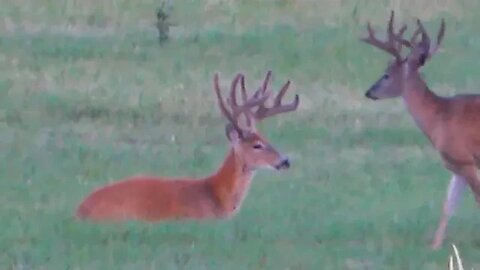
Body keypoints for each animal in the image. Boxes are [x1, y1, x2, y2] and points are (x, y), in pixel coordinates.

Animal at [360, 10, 480, 250]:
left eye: (386, 74)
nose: (369, 92)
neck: (440, 118)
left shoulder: (465, 158)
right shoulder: (456, 165)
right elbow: (448, 207)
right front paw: (434, 246)